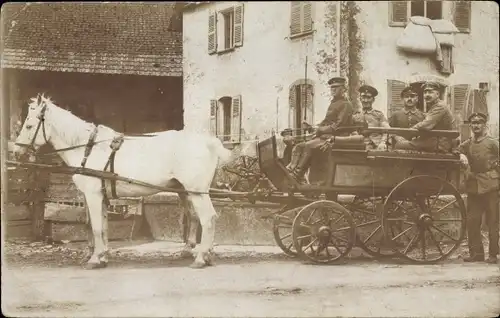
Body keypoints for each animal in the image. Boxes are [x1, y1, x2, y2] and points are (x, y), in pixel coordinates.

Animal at [13, 94, 232, 268]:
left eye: (29, 125)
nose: (16, 152)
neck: (87, 147)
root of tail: (209, 141)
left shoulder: (93, 194)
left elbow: (96, 227)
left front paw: (95, 259)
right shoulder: (100, 196)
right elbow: (101, 226)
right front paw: (102, 256)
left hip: (197, 192)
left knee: (208, 218)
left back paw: (201, 258)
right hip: (185, 191)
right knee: (196, 217)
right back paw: (201, 254)